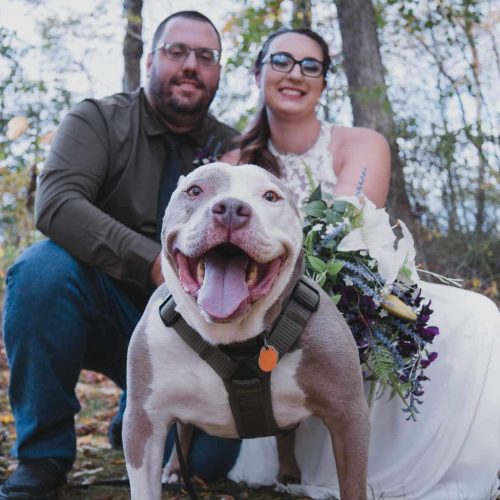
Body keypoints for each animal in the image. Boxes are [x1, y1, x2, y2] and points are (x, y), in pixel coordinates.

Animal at [123, 162, 370, 498]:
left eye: (270, 196)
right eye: (195, 191)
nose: (230, 208)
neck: (232, 340)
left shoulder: (348, 415)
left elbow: (353, 485)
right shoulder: (143, 419)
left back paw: (288, 476)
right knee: (184, 429)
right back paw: (174, 470)